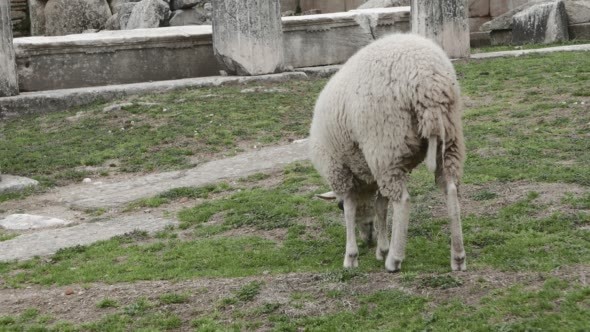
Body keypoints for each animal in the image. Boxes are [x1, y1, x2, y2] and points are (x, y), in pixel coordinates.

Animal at [312, 33, 470, 272]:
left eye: (337, 207)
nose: (368, 239)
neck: (364, 182)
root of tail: (430, 84)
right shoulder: (371, 171)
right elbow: (380, 205)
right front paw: (381, 248)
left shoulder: (340, 169)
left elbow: (351, 208)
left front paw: (352, 256)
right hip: (450, 139)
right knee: (450, 188)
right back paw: (458, 257)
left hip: (385, 145)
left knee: (403, 200)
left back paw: (395, 260)